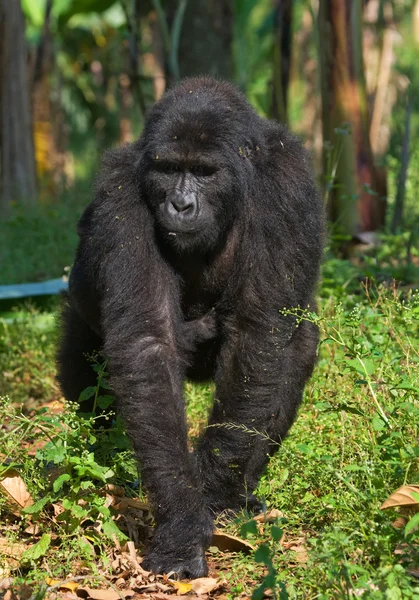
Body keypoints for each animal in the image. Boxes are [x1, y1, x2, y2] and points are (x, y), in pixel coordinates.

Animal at [57, 75, 324, 576]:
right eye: (167, 169)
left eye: (203, 172)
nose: (180, 204)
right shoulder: (123, 193)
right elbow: (147, 344)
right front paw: (181, 523)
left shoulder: (288, 186)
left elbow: (258, 335)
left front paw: (215, 496)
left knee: (298, 342)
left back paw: (241, 496)